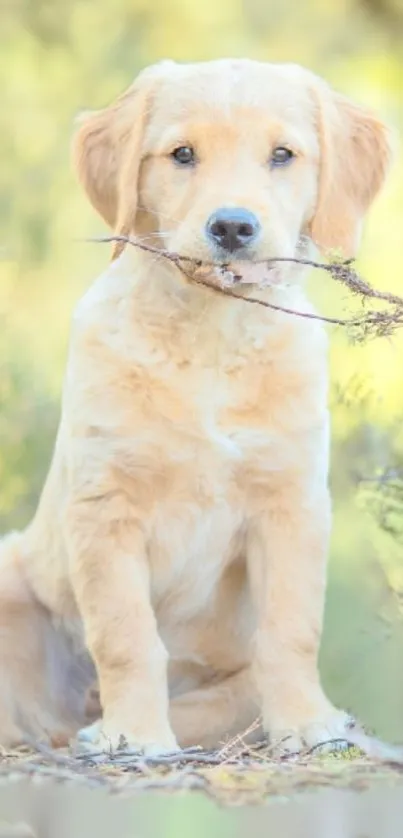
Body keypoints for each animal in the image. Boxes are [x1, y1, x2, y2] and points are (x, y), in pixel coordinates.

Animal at [0, 59, 392, 756]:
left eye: (282, 155)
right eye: (182, 154)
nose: (232, 227)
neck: (213, 333)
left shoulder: (291, 503)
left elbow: (292, 629)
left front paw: (307, 724)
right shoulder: (105, 506)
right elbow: (127, 635)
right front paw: (134, 735)